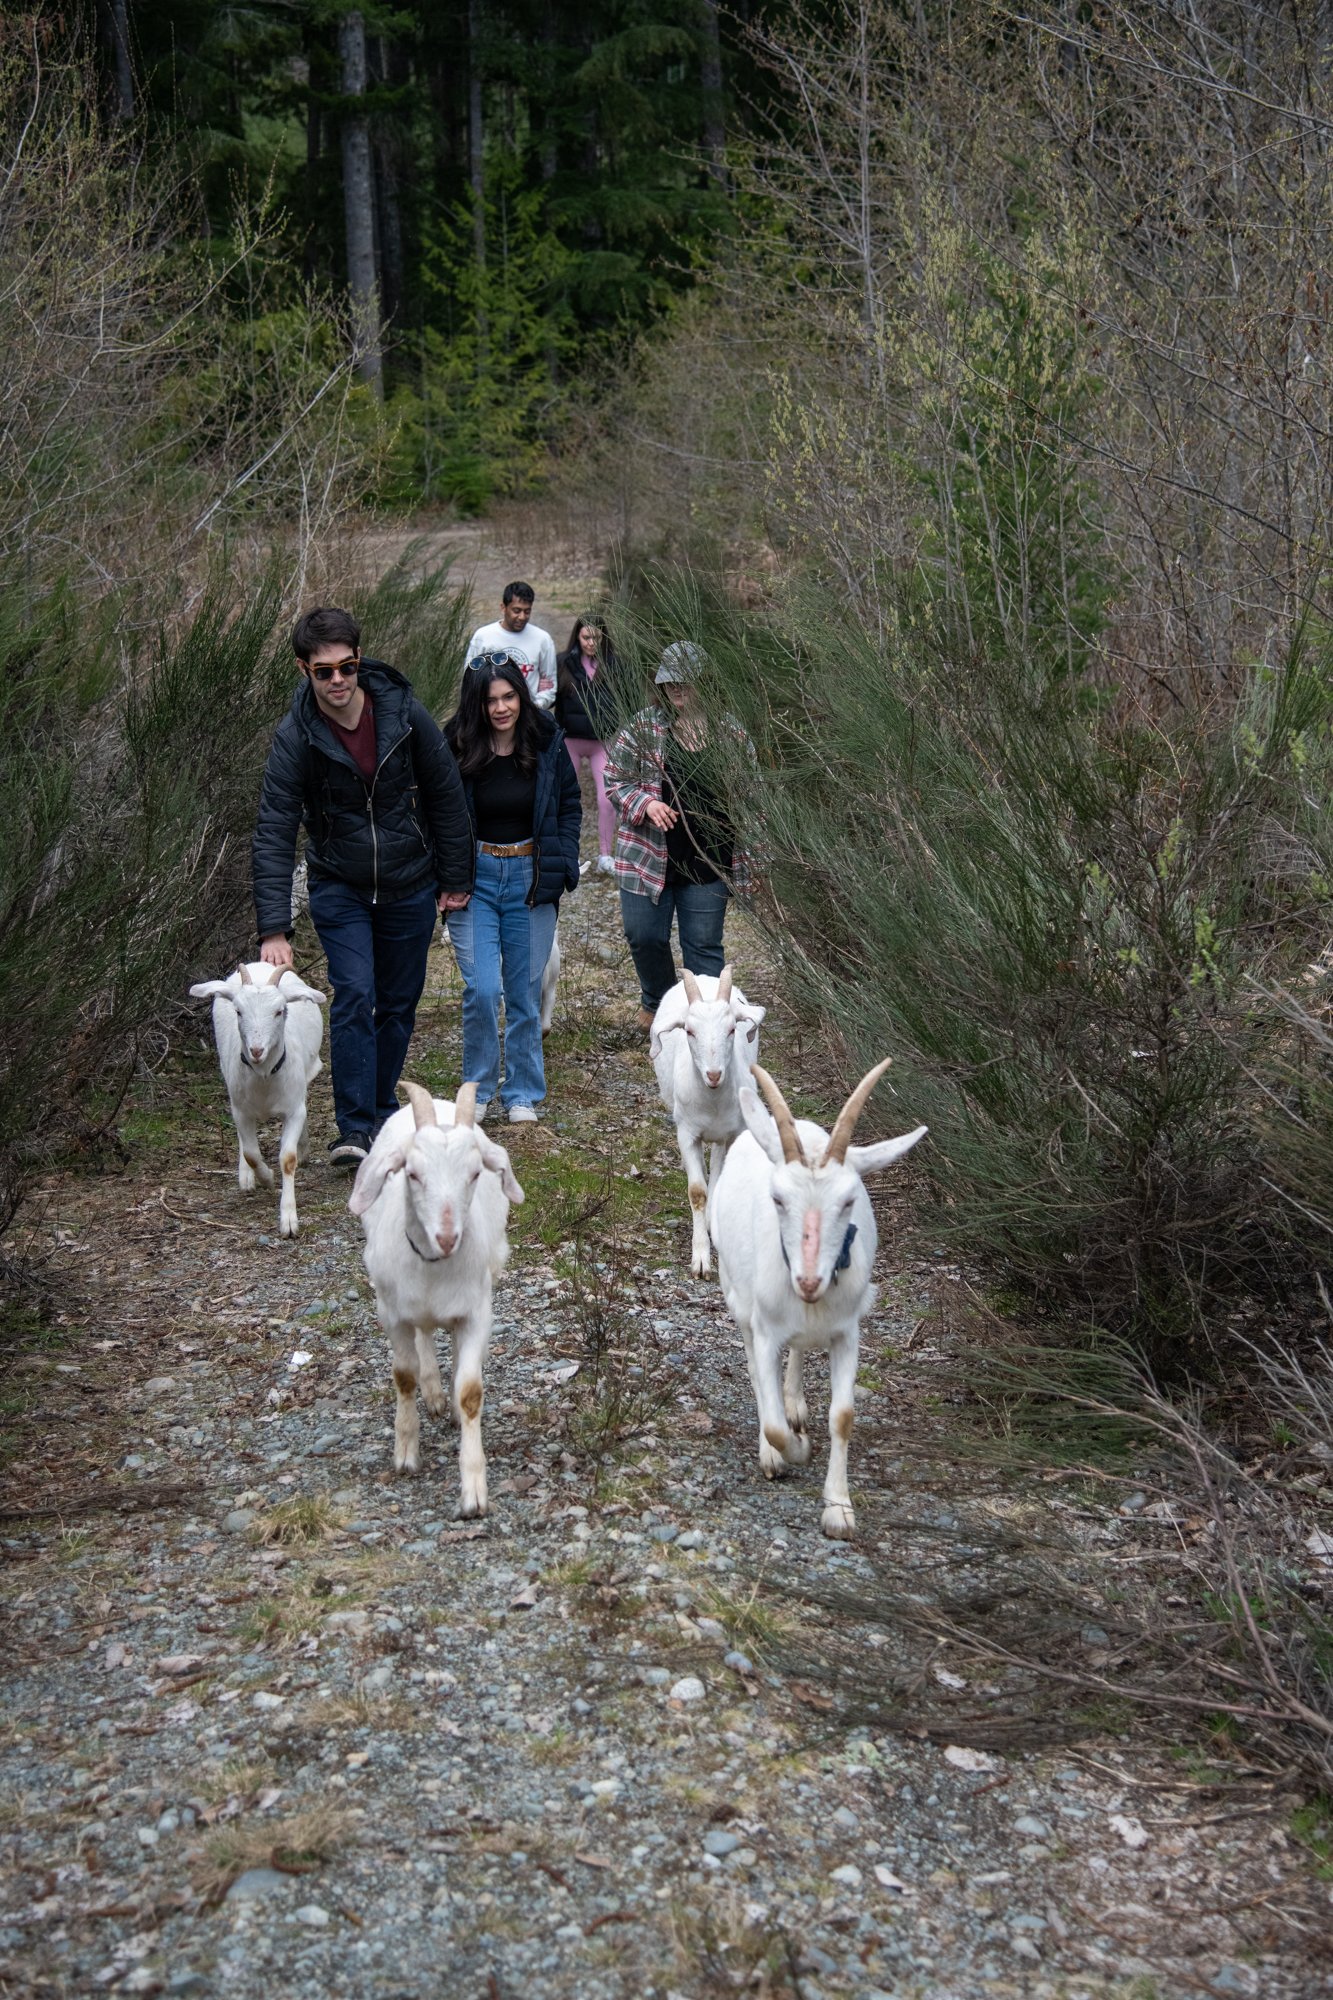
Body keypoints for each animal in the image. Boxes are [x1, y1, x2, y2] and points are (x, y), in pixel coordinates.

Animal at [189, 961, 326, 1239]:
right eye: (238, 1011)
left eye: (279, 1011)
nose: (256, 1051)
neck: (263, 1077)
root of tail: (259, 964)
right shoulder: (241, 1111)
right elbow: (252, 1153)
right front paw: (266, 1177)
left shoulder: (293, 1109)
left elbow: (288, 1158)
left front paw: (288, 1220)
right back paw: (247, 1177)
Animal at [349, 1079, 524, 1514]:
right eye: (411, 1174)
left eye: (476, 1173)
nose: (446, 1238)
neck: (433, 1267)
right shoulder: (391, 1313)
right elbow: (403, 1375)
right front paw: (406, 1452)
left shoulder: (477, 1313)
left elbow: (470, 1390)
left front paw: (474, 1489)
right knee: (423, 1336)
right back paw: (431, 1390)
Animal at [651, 965, 765, 1277]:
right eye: (689, 1031)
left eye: (732, 1029)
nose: (714, 1075)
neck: (713, 1102)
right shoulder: (687, 1133)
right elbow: (697, 1191)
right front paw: (700, 1259)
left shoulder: (734, 1132)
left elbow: (720, 1178)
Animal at [708, 1060, 926, 1538]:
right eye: (777, 1199)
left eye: (848, 1201)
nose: (808, 1281)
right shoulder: (766, 1327)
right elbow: (772, 1419)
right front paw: (793, 1450)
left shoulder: (847, 1332)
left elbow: (842, 1416)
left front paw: (839, 1510)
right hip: (738, 1296)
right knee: (756, 1370)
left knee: (798, 1353)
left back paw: (795, 1403)